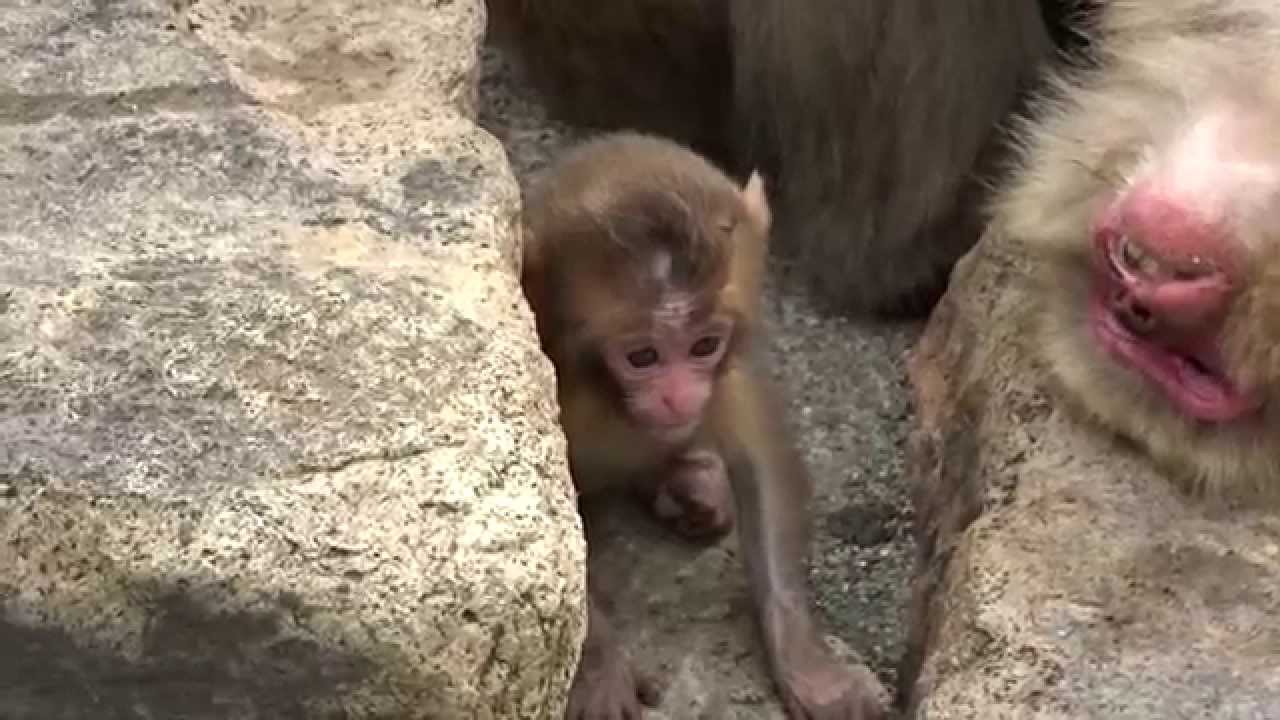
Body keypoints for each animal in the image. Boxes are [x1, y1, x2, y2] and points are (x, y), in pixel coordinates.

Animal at [521, 132, 887, 720]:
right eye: (642, 357)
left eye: (704, 346)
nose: (678, 396)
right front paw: (597, 670)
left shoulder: (727, 374)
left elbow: (762, 466)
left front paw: (808, 665)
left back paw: (691, 484)